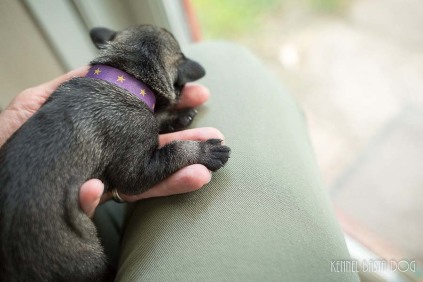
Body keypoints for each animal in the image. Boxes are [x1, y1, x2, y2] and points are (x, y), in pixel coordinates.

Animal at [0, 24, 230, 282]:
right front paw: (206, 150)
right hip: (85, 255)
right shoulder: (136, 171)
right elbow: (173, 151)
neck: (126, 75)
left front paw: (178, 117)